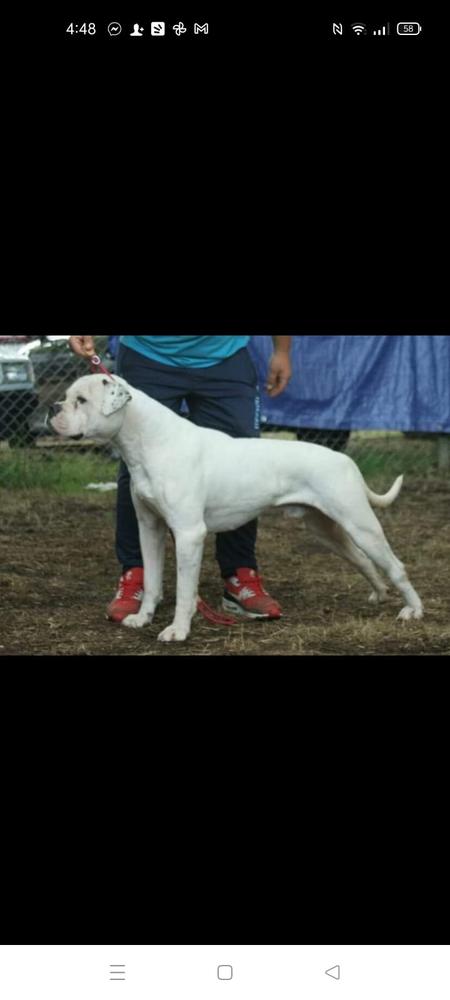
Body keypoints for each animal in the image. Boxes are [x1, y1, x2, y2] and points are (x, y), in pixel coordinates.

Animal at [51, 374, 424, 640]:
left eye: (81, 400)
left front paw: (178, 631)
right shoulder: (150, 528)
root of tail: (344, 459)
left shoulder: (189, 534)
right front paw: (142, 618)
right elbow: (153, 582)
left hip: (361, 525)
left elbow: (185, 591)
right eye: (68, 397)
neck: (151, 441)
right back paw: (379, 594)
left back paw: (413, 611)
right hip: (328, 530)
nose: (53, 408)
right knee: (364, 561)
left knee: (396, 566)